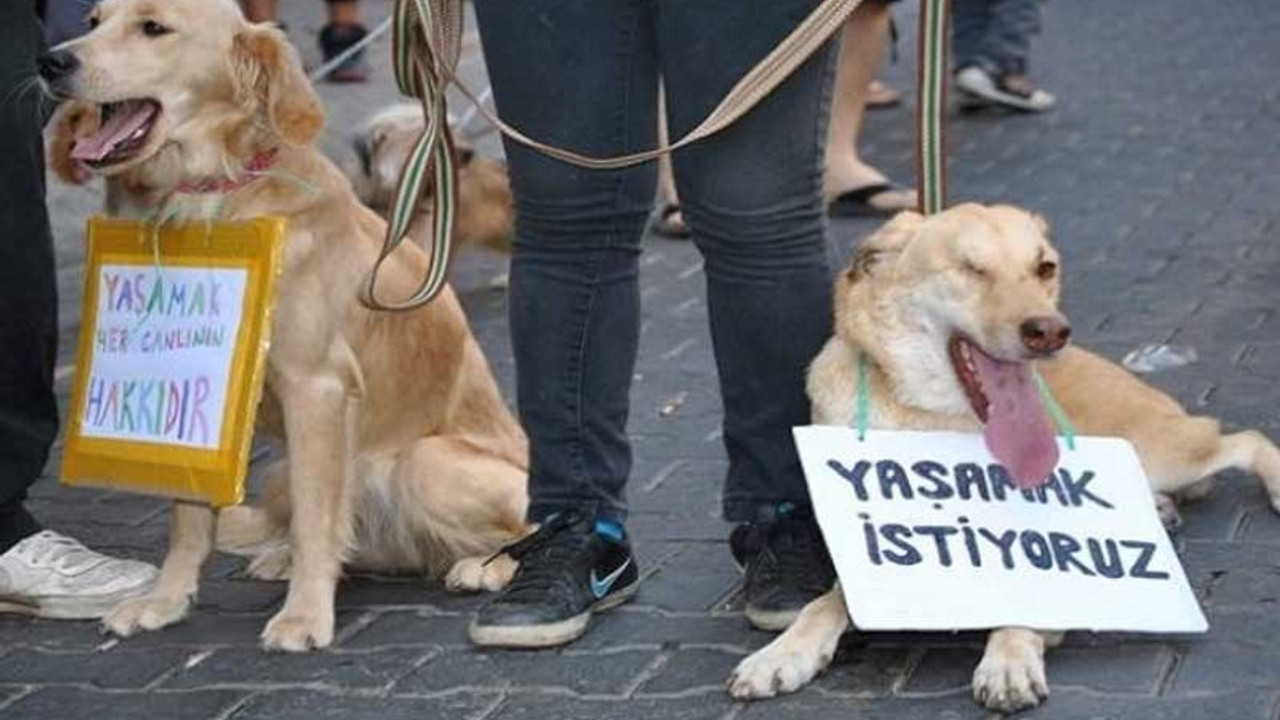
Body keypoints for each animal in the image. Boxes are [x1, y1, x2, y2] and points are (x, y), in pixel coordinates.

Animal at [38, 0, 529, 650]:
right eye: (92, 20)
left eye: (153, 27)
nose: (50, 61)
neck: (214, 196)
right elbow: (188, 522)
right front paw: (166, 601)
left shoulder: (315, 386)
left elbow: (317, 520)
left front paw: (305, 616)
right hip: (278, 471)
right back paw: (283, 558)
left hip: (423, 464)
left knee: (527, 527)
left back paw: (483, 566)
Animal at [732, 199, 1280, 707]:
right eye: (971, 269)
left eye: (1045, 268)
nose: (1050, 332)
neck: (933, 419)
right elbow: (824, 604)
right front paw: (782, 654)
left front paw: (1009, 661)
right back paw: (1162, 508)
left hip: (1165, 448)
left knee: (1244, 438)